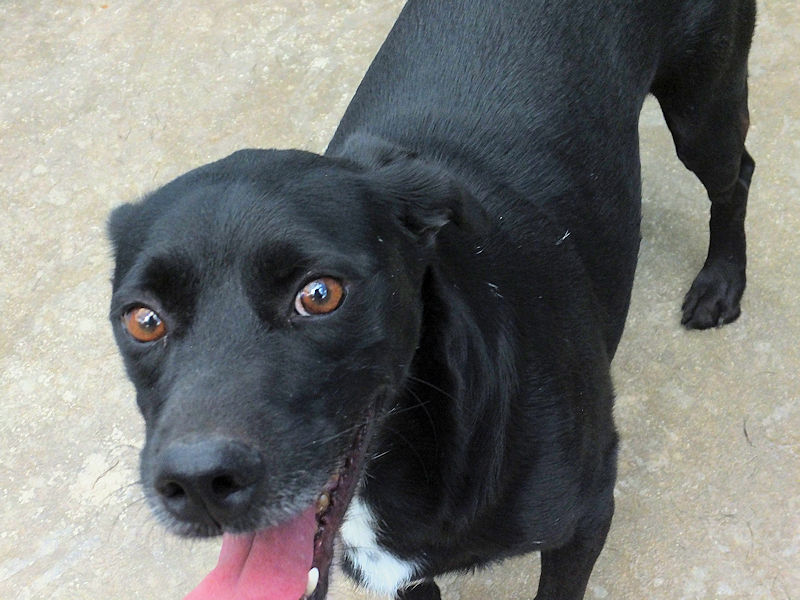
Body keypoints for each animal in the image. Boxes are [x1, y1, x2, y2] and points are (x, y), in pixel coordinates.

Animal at [108, 1, 756, 598]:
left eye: (319, 294)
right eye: (142, 321)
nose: (197, 483)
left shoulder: (589, 513)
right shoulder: (396, 575)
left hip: (703, 111)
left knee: (738, 172)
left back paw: (721, 281)